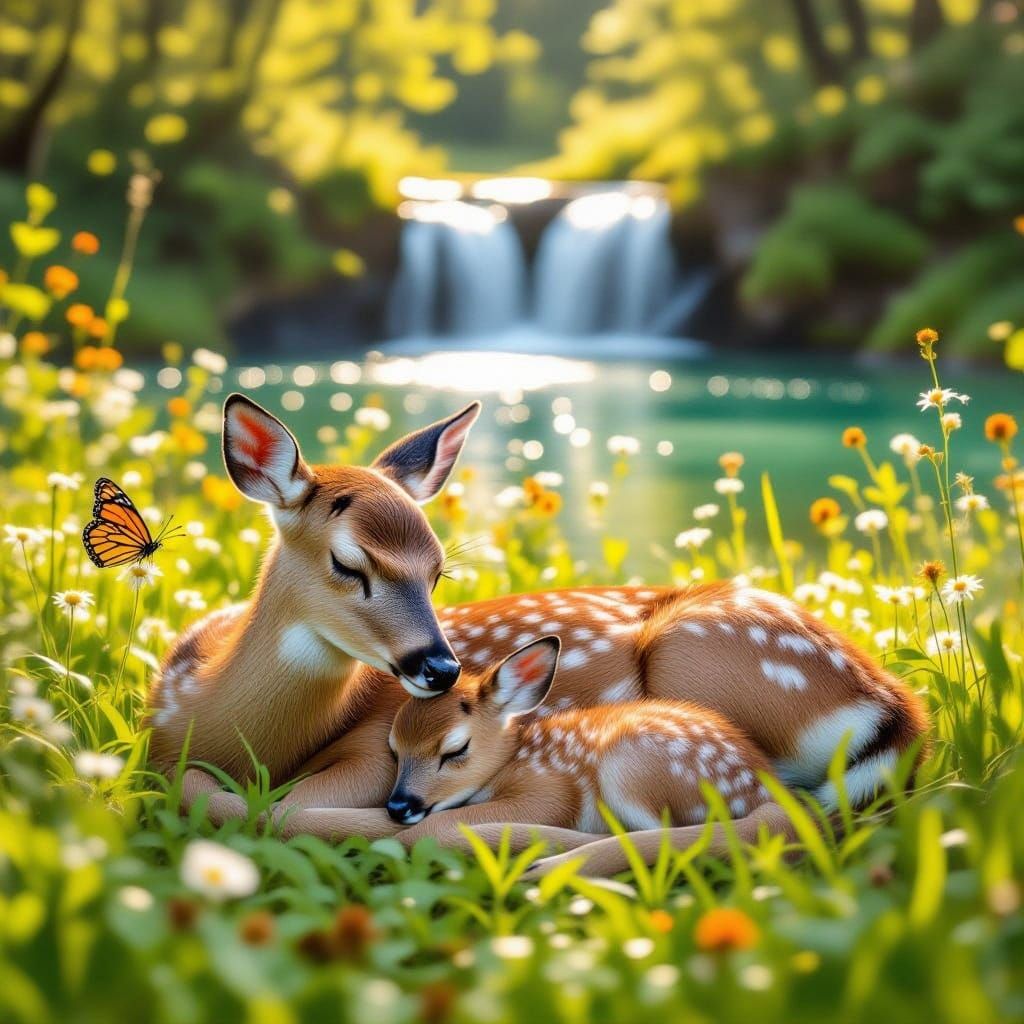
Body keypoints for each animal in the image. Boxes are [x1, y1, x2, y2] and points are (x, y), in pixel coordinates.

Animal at [153, 394, 928, 876]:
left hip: (693, 664)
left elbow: (270, 808)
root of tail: (897, 715)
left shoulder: (374, 752)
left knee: (781, 815)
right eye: (348, 563)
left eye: (438, 569)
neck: (212, 716)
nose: (441, 669)